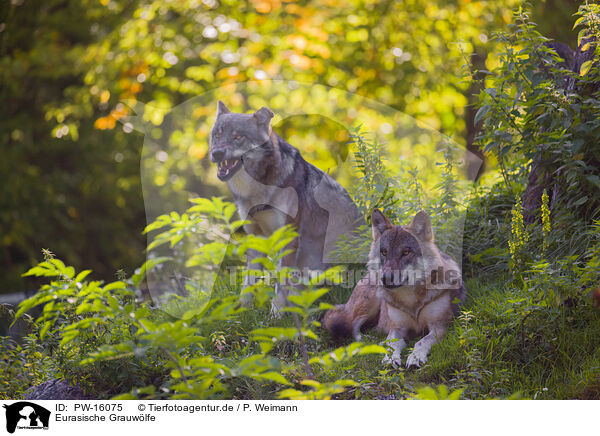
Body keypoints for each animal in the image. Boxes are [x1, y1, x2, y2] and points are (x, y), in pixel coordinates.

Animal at [209, 101, 364, 314]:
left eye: (238, 137)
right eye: (217, 135)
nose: (216, 153)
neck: (257, 189)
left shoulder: (288, 236)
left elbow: (280, 283)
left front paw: (276, 315)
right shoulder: (254, 235)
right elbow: (249, 281)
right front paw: (243, 310)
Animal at [326, 208, 466, 368]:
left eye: (406, 252)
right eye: (384, 252)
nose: (385, 278)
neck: (411, 301)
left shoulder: (440, 326)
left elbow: (421, 341)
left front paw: (416, 357)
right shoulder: (397, 328)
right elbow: (393, 344)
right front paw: (391, 358)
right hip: (371, 302)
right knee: (353, 325)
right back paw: (369, 341)